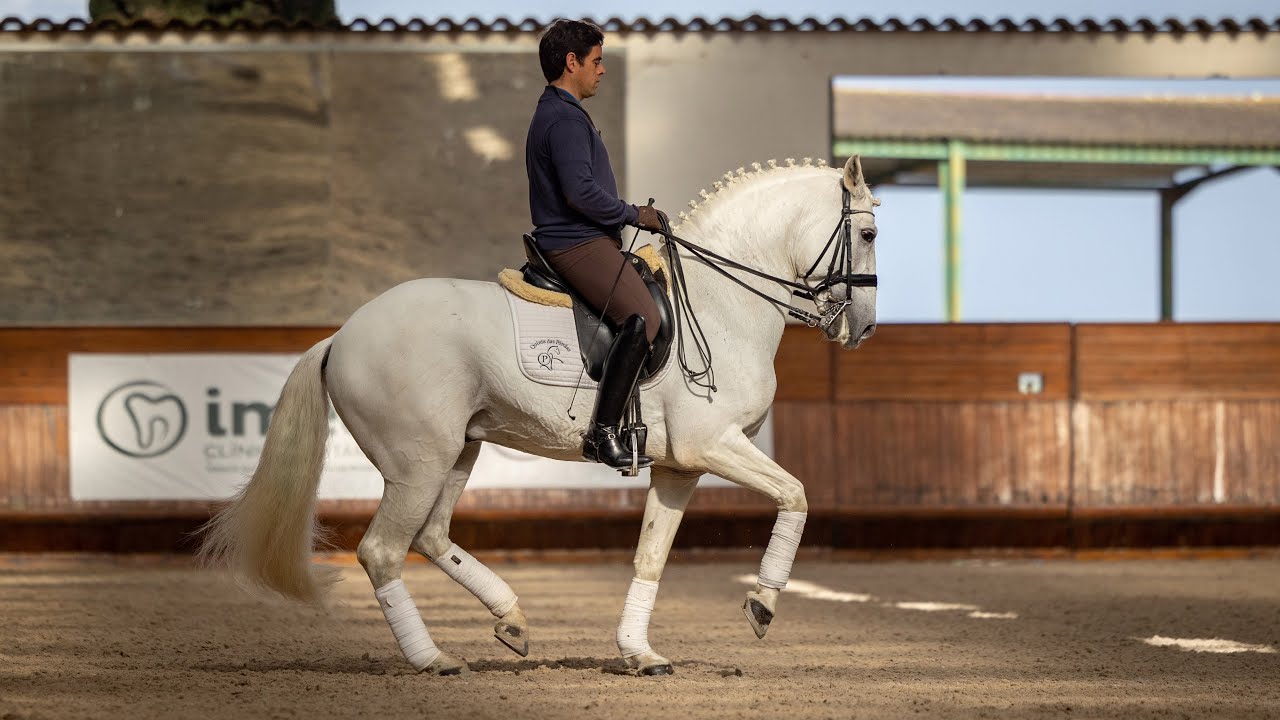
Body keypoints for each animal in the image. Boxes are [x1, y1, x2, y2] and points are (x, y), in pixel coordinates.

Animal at [200, 154, 880, 677]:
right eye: (871, 236)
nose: (865, 329)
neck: (722, 305)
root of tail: (341, 336)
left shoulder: (680, 467)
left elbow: (650, 557)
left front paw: (638, 653)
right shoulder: (713, 444)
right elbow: (796, 495)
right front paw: (763, 605)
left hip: (459, 450)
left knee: (430, 536)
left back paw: (513, 621)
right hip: (419, 462)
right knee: (383, 552)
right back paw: (433, 659)